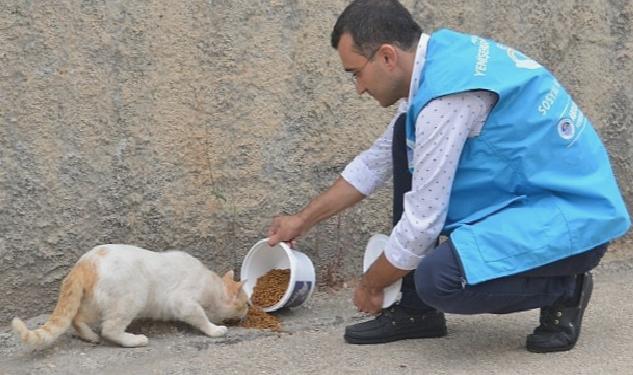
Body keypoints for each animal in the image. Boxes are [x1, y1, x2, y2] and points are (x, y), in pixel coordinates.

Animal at [11, 244, 249, 350]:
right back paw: (134, 340)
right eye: (246, 303)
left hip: (94, 303)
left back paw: (90, 336)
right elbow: (201, 318)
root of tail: (84, 262)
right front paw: (215, 329)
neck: (213, 285)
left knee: (76, 319)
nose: (248, 311)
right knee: (109, 329)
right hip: (130, 298)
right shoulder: (183, 302)